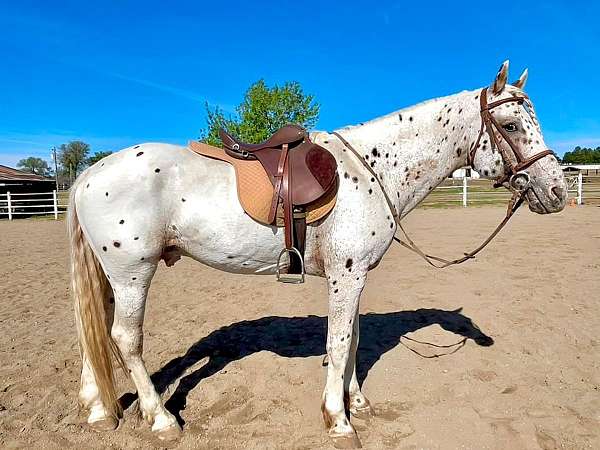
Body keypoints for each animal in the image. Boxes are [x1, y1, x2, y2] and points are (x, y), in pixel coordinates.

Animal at [69, 61, 568, 448]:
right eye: (510, 125)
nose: (557, 192)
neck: (372, 169)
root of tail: (90, 174)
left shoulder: (357, 275)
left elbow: (355, 341)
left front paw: (358, 403)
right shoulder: (346, 276)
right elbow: (339, 342)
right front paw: (338, 420)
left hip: (113, 277)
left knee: (94, 330)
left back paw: (99, 410)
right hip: (133, 273)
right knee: (125, 340)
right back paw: (160, 420)